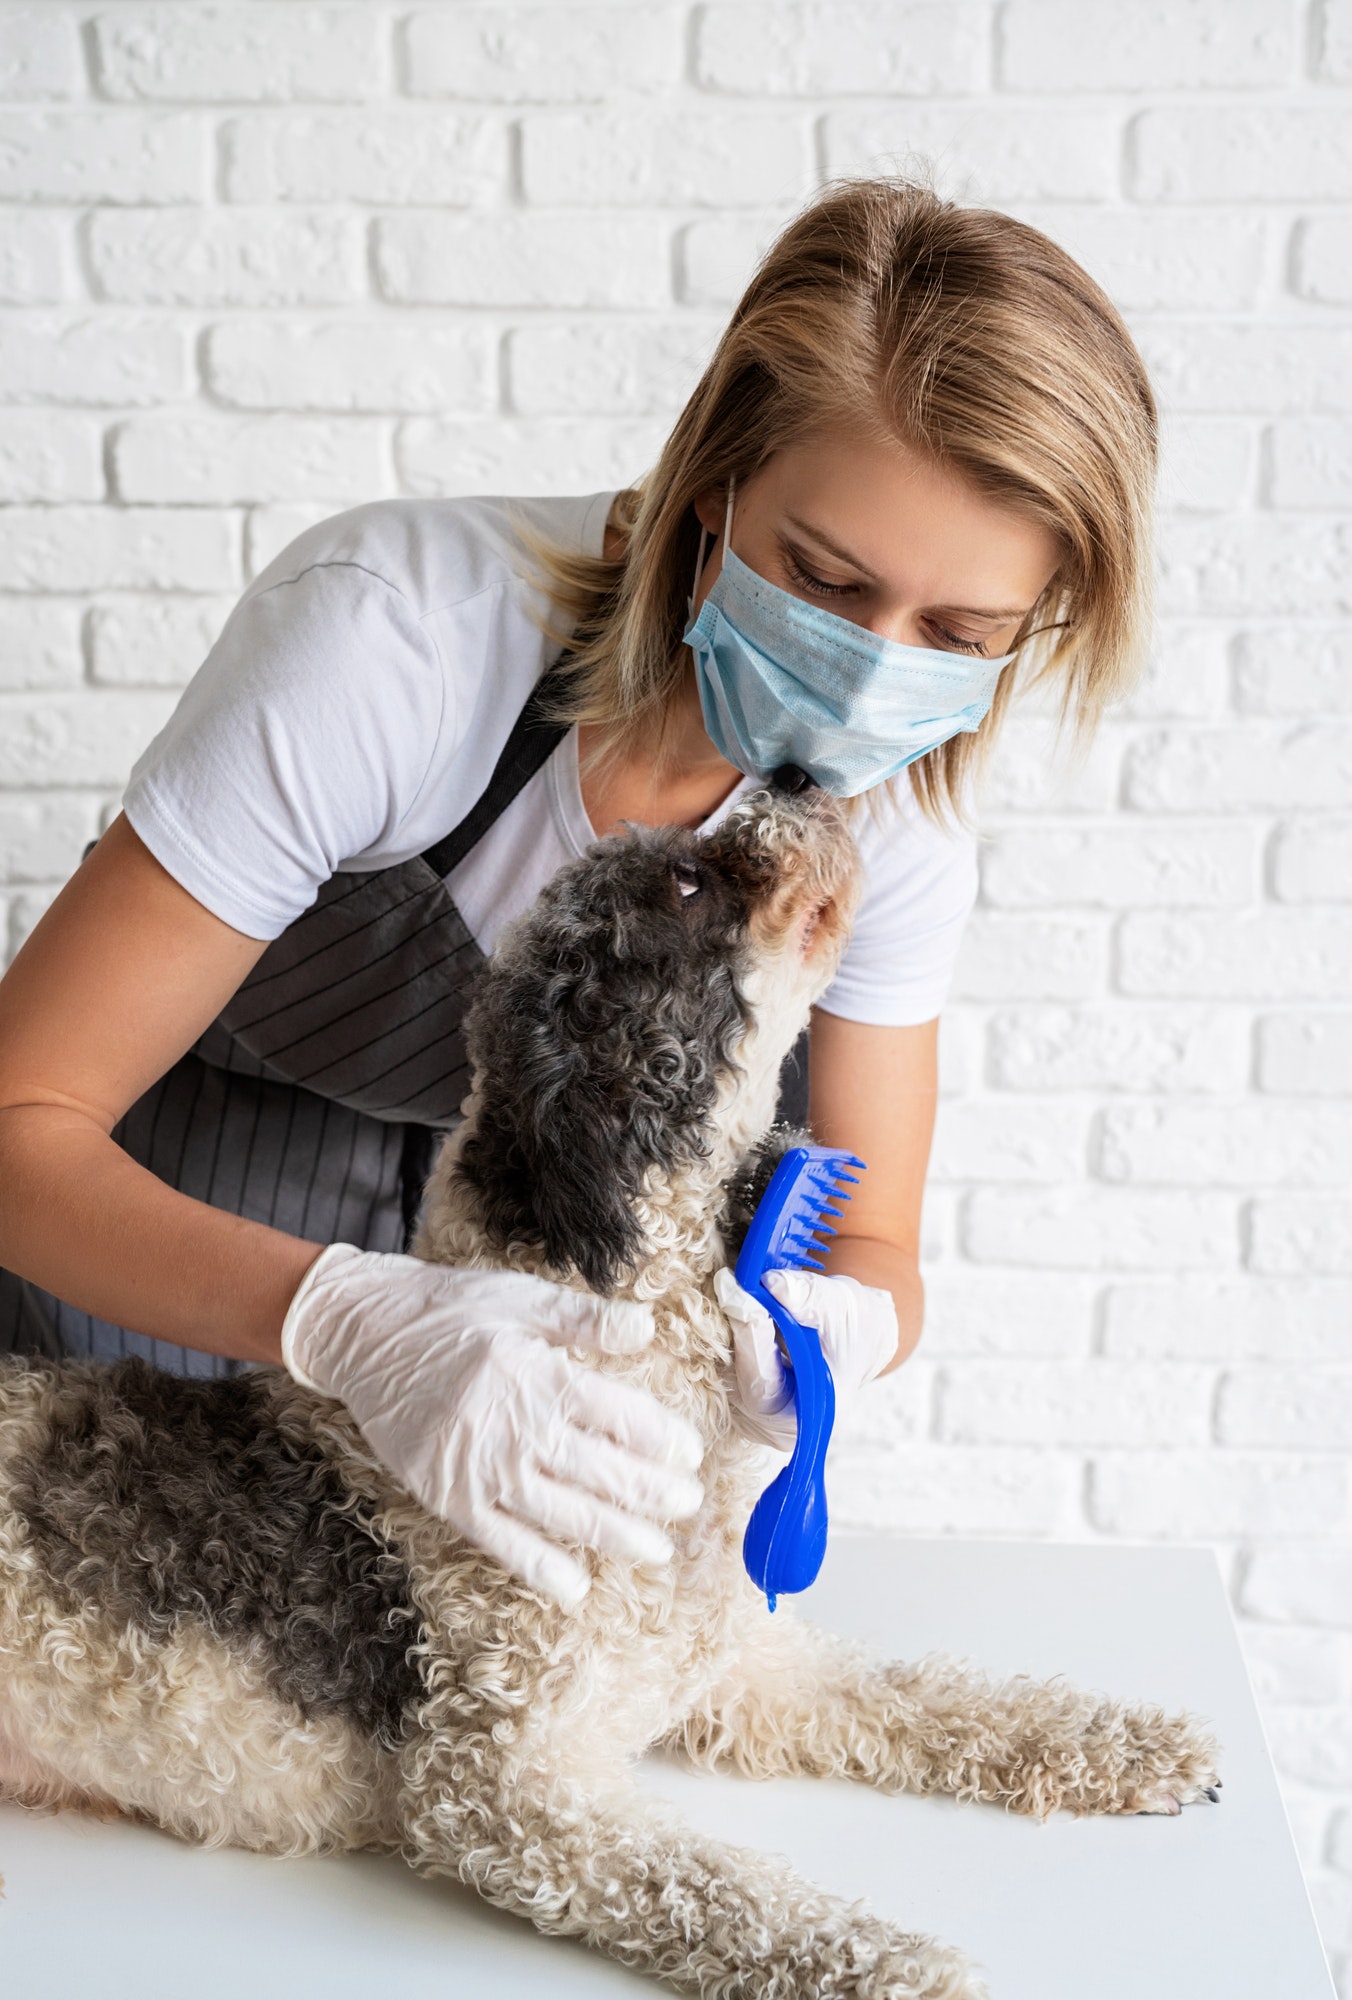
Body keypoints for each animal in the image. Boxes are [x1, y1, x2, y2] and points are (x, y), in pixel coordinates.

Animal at [0, 788, 1216, 1992]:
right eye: (684, 882)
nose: (797, 779)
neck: (620, 1350)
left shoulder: (739, 1669)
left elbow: (922, 1694)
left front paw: (1128, 1744)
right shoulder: (504, 1788)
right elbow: (731, 1895)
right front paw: (897, 1965)